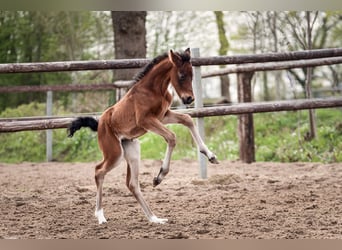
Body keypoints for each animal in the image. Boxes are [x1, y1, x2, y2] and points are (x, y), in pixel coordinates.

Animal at [68, 47, 218, 224]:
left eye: (192, 75)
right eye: (181, 75)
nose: (189, 98)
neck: (153, 90)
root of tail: (99, 124)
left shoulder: (163, 116)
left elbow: (187, 119)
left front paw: (210, 155)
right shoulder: (146, 120)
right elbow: (172, 137)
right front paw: (160, 176)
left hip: (132, 150)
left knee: (132, 184)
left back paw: (154, 218)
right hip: (115, 154)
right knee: (99, 171)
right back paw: (100, 216)